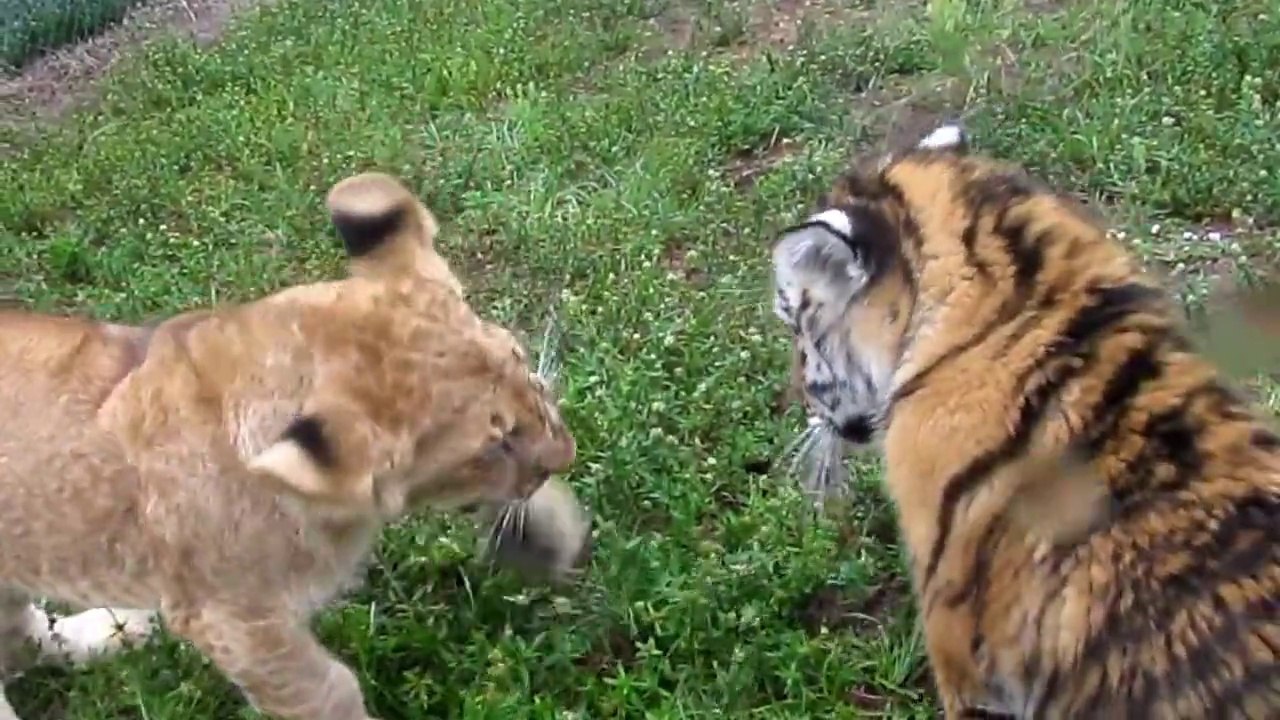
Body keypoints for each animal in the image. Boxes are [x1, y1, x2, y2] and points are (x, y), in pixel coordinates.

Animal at [0, 171, 585, 720]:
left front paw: (554, 533)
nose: (569, 453)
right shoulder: (233, 621)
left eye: (522, 364)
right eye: (491, 447)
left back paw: (115, 630)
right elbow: (324, 693)